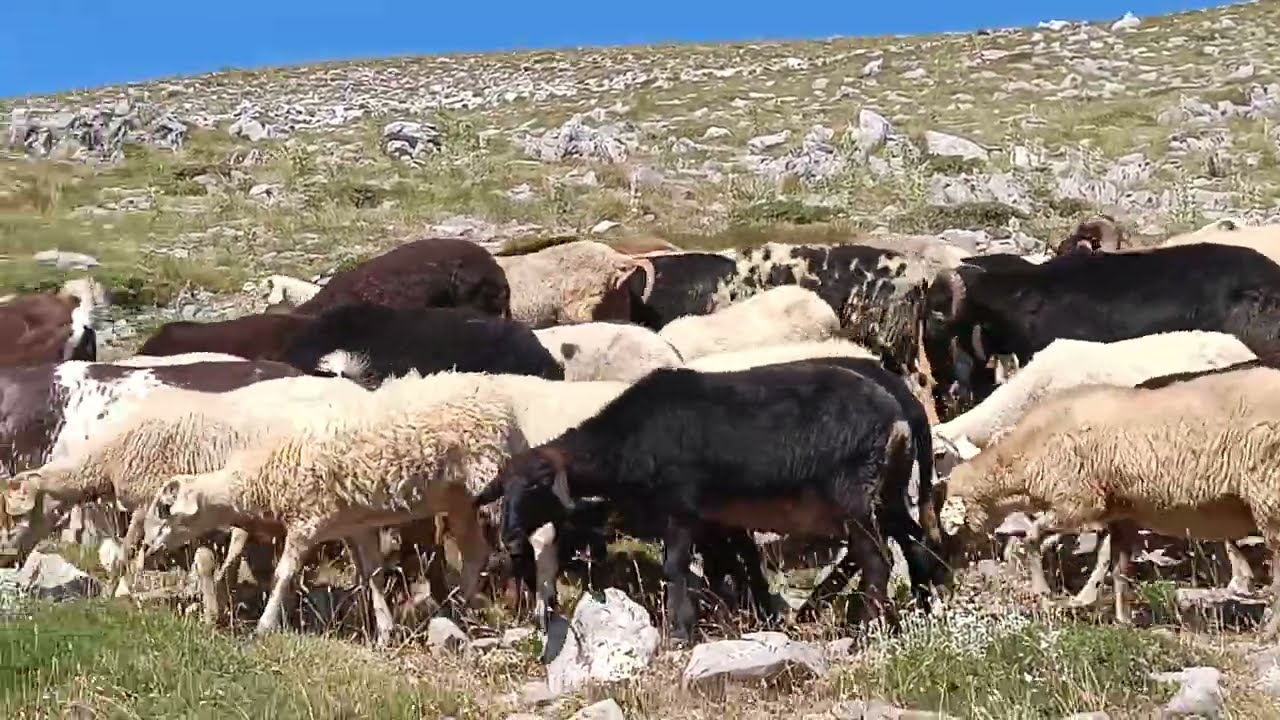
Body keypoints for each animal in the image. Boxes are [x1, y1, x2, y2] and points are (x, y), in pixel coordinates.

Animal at [141, 374, 527, 645]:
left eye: (164, 508)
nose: (148, 547)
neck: (261, 475)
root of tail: (504, 406)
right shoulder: (354, 524)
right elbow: (372, 575)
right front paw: (385, 632)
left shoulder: (307, 520)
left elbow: (284, 574)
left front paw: (264, 626)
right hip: (457, 501)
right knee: (475, 553)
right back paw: (459, 608)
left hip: (489, 489)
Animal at [936, 364, 1280, 637]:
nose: (951, 565)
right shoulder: (1121, 512)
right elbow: (1118, 568)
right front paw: (1123, 619)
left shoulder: (1077, 502)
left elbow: (1032, 538)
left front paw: (1045, 593)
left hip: (1269, 493)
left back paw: (1267, 629)